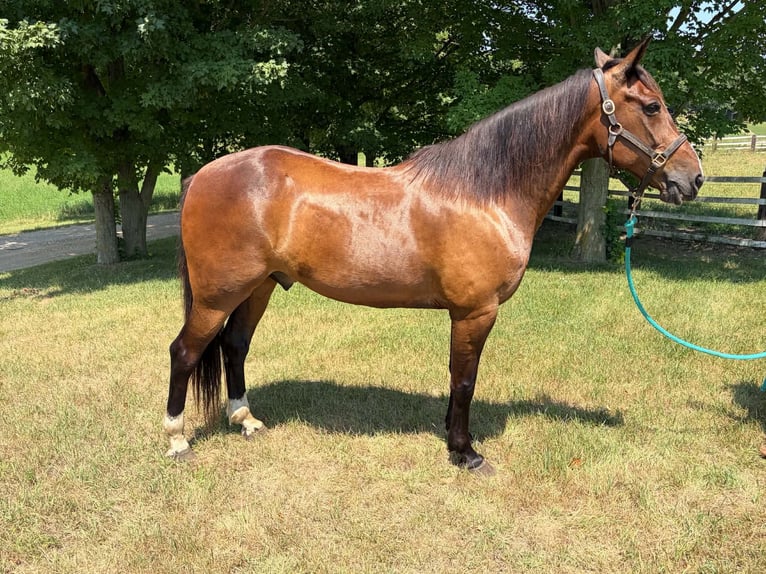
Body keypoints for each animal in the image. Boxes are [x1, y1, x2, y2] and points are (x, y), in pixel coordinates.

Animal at [163, 38, 704, 473]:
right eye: (651, 106)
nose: (692, 178)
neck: (485, 193)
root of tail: (202, 175)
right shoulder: (475, 311)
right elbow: (465, 379)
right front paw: (465, 453)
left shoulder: (465, 314)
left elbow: (455, 376)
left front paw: (452, 436)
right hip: (217, 295)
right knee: (185, 351)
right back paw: (177, 440)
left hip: (259, 287)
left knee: (234, 346)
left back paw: (246, 420)